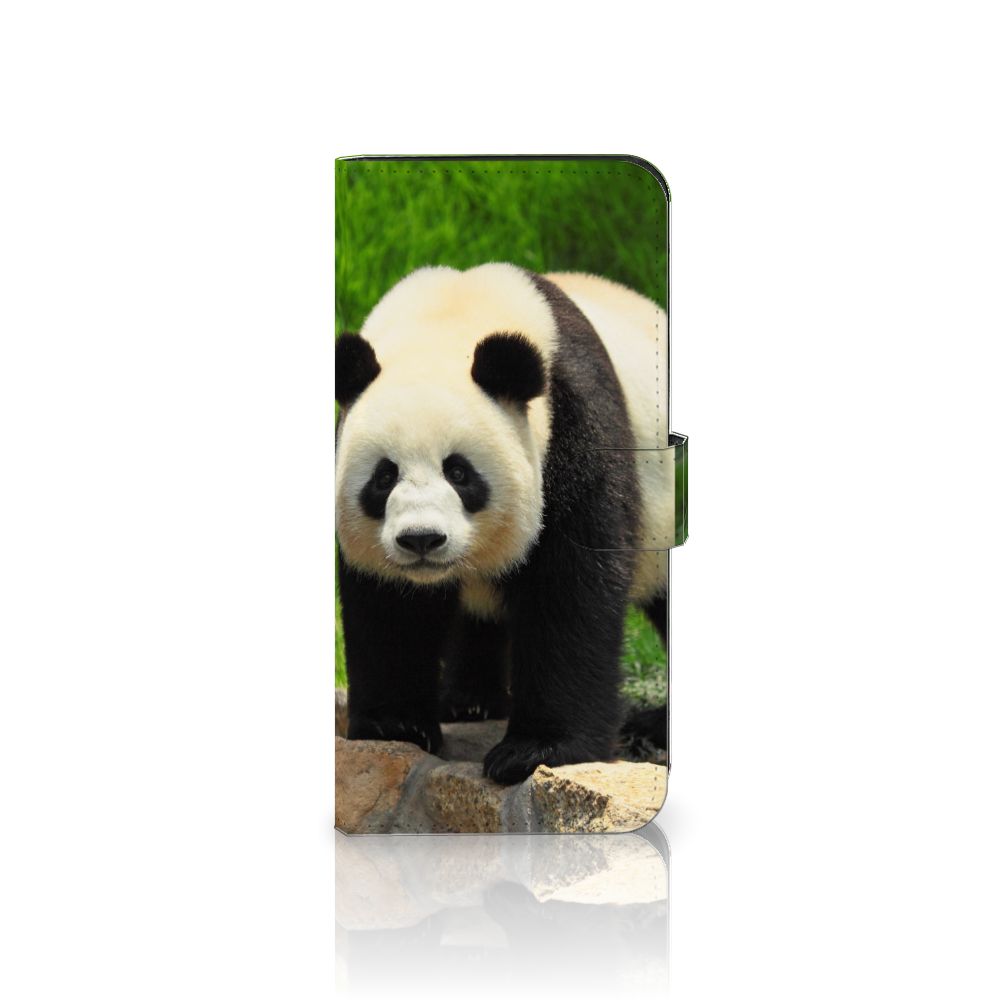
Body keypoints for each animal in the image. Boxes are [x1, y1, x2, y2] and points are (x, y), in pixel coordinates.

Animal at [335, 263, 671, 785]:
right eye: (384, 476)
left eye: (459, 472)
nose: (421, 539)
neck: (448, 319)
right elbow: (388, 605)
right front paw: (396, 726)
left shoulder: (573, 426)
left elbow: (570, 586)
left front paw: (535, 751)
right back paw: (469, 702)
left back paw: (653, 725)